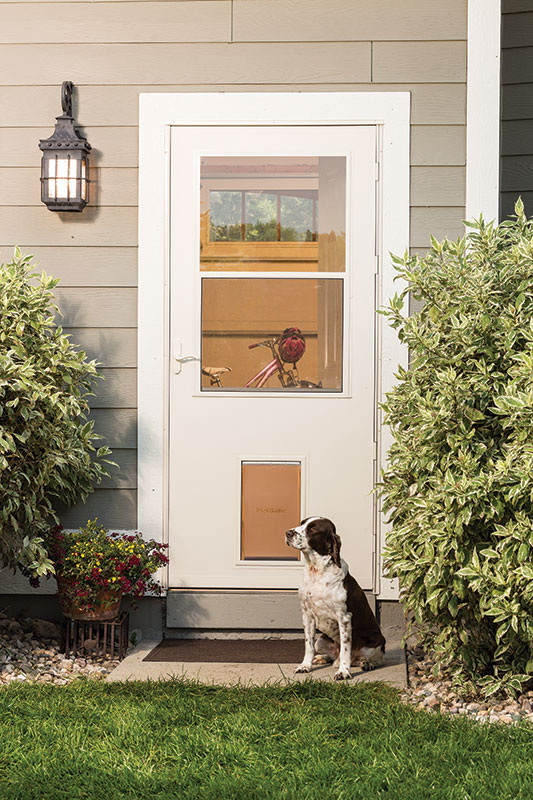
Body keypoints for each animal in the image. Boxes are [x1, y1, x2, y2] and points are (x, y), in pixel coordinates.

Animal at [284, 520, 384, 680]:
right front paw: (305, 666)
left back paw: (367, 664)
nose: (288, 533)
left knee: (375, 658)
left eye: (312, 529)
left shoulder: (344, 617)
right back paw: (322, 658)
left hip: (375, 641)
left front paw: (343, 672)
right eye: (301, 523)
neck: (317, 571)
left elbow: (345, 649)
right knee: (331, 654)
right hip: (321, 640)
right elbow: (308, 645)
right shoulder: (307, 616)